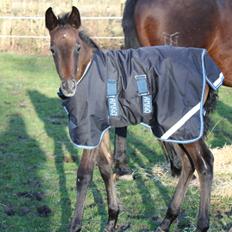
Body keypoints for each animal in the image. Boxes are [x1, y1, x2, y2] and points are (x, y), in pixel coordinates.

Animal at [45, 6, 219, 231]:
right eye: (52, 50)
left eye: (77, 48)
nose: (68, 87)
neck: (89, 72)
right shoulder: (100, 128)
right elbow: (105, 168)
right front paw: (112, 219)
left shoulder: (90, 130)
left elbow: (84, 175)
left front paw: (75, 225)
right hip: (175, 128)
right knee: (189, 165)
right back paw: (166, 220)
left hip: (183, 123)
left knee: (205, 163)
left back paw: (200, 225)